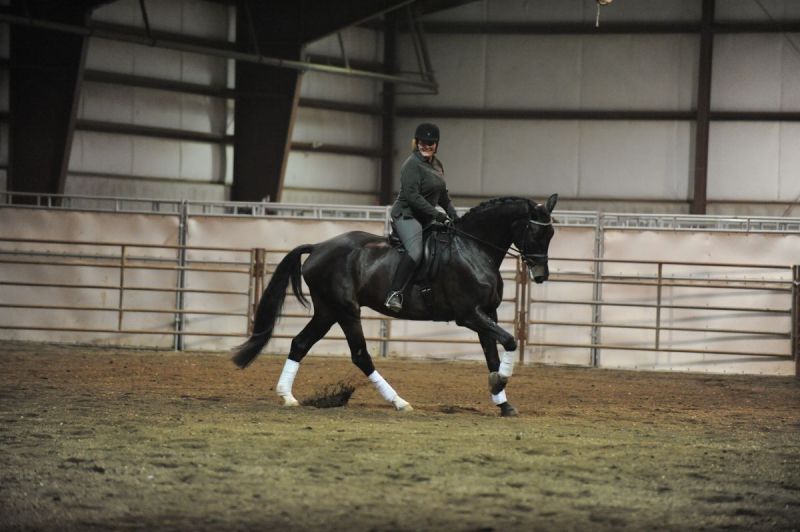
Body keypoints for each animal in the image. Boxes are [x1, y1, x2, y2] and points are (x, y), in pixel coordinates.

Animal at [232, 194, 558, 416]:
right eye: (535, 232)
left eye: (551, 234)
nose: (541, 275)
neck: (473, 248)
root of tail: (319, 248)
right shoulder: (469, 315)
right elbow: (510, 341)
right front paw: (499, 382)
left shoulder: (487, 314)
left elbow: (492, 354)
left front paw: (503, 401)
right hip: (346, 311)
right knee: (361, 355)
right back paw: (399, 402)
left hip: (327, 311)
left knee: (300, 344)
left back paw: (287, 396)